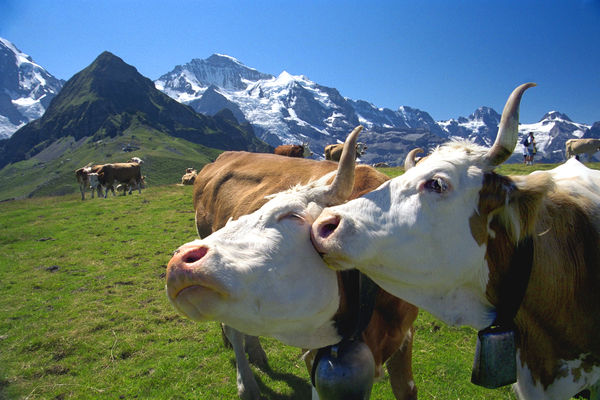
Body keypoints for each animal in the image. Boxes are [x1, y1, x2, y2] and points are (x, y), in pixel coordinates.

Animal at [164, 127, 418, 400]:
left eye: (292, 215)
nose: (181, 257)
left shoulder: (405, 335)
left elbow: (406, 389)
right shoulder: (313, 352)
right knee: (233, 330)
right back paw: (247, 385)